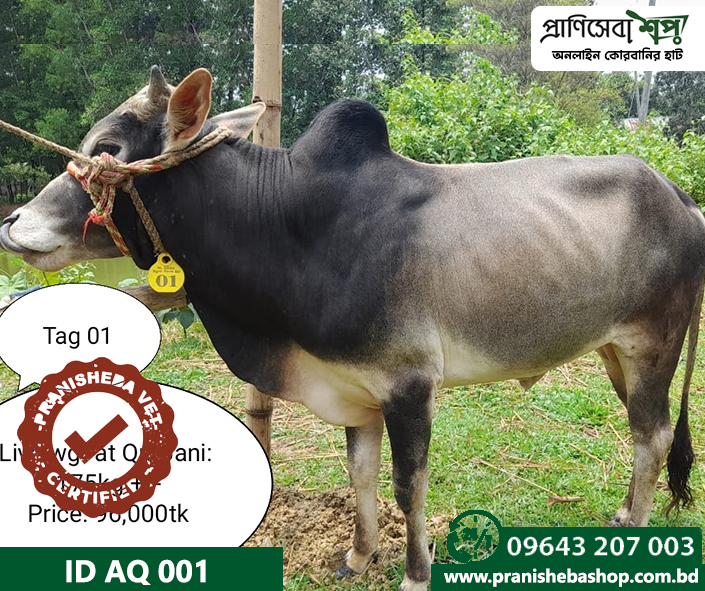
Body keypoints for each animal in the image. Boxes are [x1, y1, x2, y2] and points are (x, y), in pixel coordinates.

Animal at [2, 67, 704, 591]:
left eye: (107, 151)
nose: (12, 221)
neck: (288, 228)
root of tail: (679, 196)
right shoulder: (353, 390)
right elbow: (360, 473)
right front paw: (359, 556)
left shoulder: (409, 384)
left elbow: (407, 484)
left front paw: (416, 573)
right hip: (614, 352)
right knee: (647, 435)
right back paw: (623, 512)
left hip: (653, 347)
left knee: (653, 436)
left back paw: (634, 529)